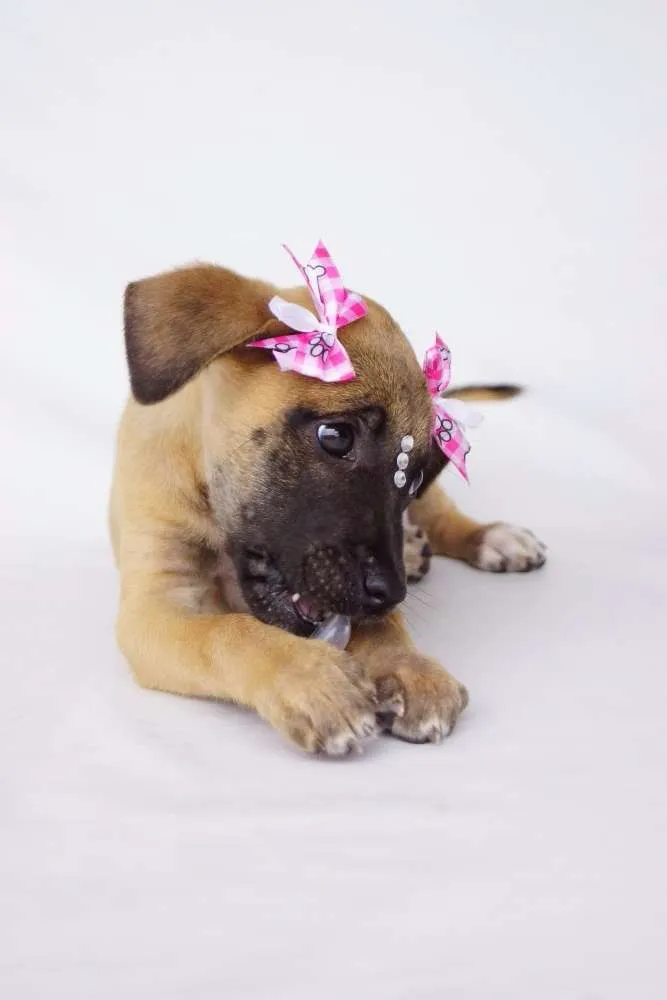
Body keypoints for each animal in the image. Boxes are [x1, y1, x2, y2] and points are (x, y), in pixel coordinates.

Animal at [110, 253, 546, 755]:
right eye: (335, 436)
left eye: (413, 477)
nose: (391, 593)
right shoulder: (153, 609)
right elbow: (226, 633)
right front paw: (310, 679)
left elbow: (379, 625)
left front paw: (405, 664)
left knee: (442, 517)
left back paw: (491, 538)